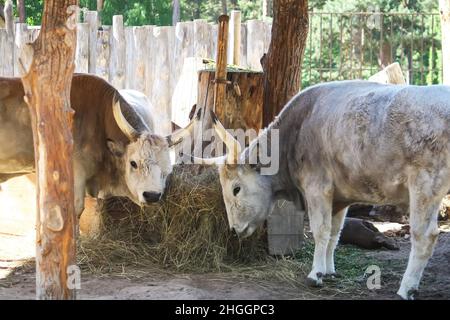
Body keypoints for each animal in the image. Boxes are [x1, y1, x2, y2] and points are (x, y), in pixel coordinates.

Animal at [199, 80, 450, 300]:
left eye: (236, 189)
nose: (234, 229)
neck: (298, 128)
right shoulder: (340, 197)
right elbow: (335, 232)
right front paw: (329, 269)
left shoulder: (317, 188)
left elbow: (321, 230)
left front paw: (315, 274)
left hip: (424, 186)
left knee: (424, 237)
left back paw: (406, 288)